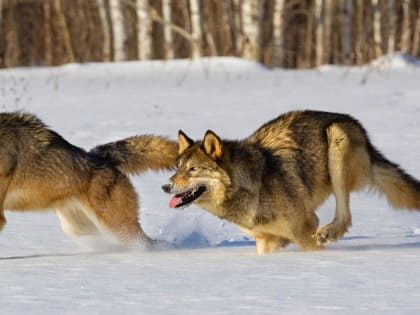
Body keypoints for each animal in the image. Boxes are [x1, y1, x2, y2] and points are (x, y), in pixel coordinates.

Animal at [162, 110, 420, 256]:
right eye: (178, 168)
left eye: (193, 170)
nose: (165, 187)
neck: (252, 189)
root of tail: (355, 124)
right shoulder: (265, 241)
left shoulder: (304, 227)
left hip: (336, 141)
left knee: (345, 215)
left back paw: (328, 232)